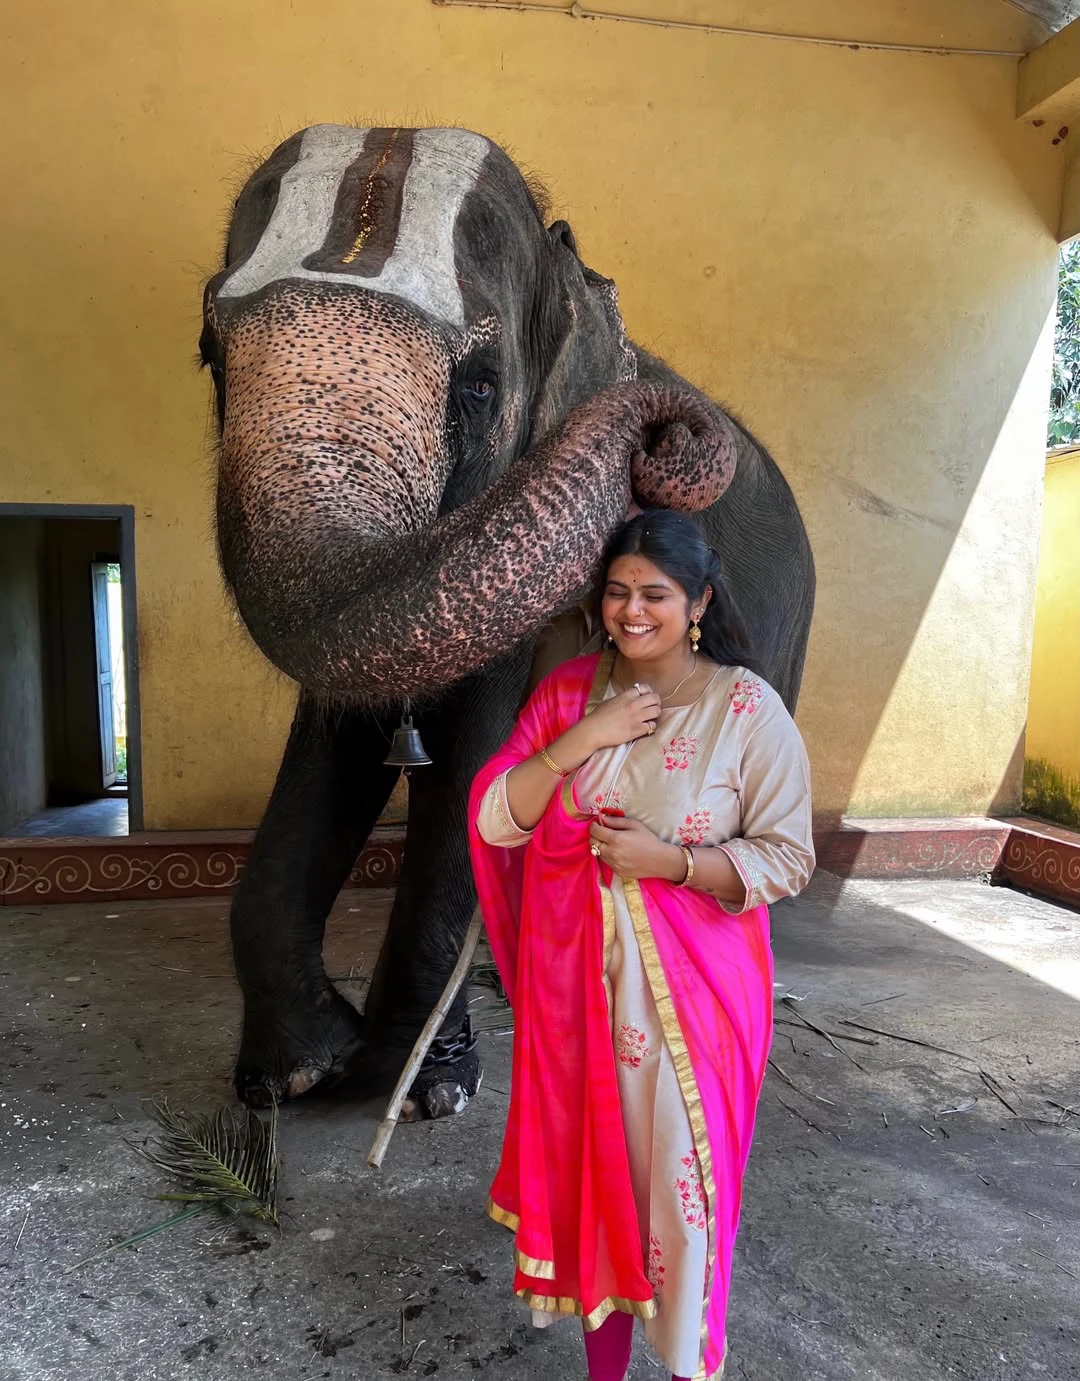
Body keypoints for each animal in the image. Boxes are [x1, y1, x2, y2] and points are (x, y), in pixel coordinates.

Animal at [199, 125, 815, 1117]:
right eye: (209, 356)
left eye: (481, 388)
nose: (666, 431)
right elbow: (342, 732)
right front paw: (290, 1074)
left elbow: (479, 751)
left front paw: (427, 1090)